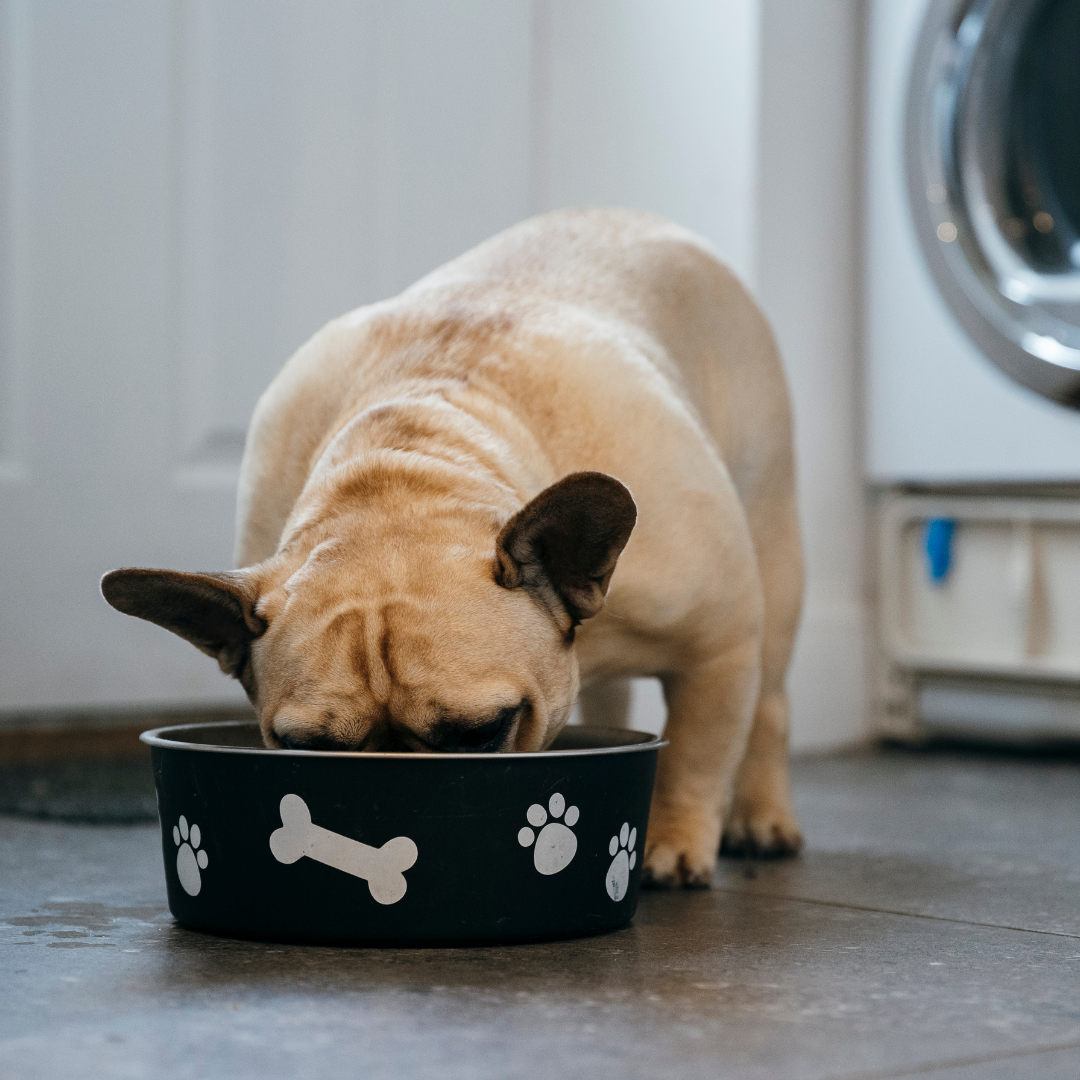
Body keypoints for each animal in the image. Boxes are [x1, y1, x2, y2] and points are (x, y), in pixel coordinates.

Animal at [103, 206, 803, 881]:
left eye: (480, 732)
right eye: (308, 748)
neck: (414, 451)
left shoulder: (718, 644)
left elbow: (696, 755)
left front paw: (673, 842)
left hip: (774, 558)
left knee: (769, 706)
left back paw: (762, 819)